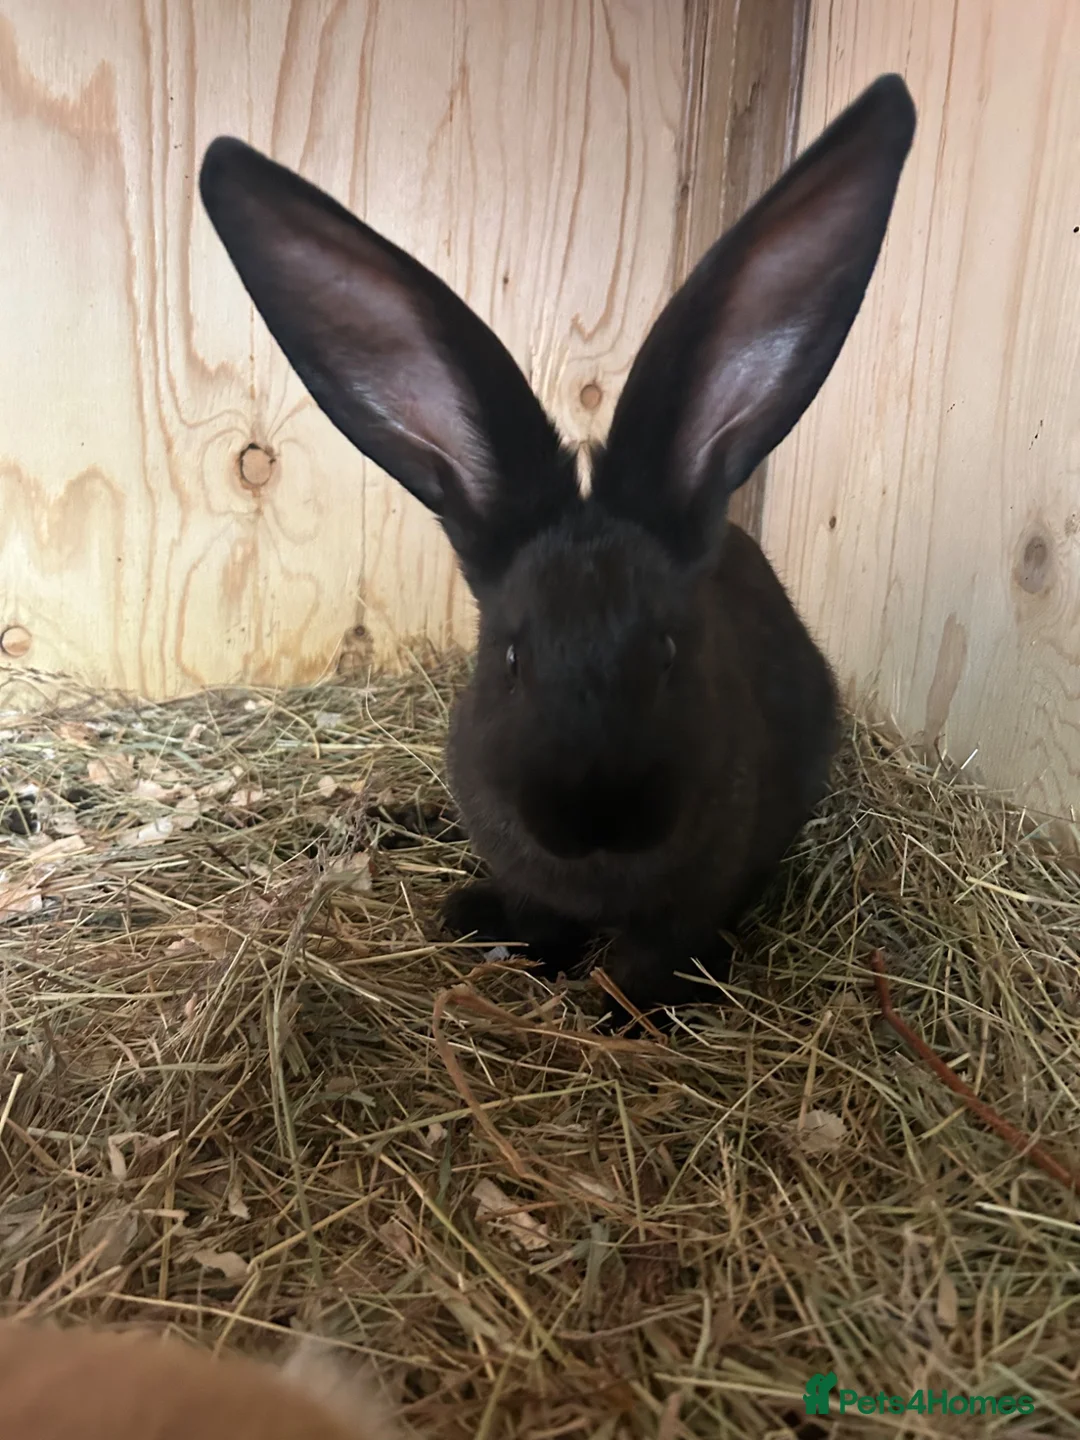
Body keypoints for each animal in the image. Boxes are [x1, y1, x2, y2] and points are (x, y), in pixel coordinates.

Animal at [198, 74, 916, 1019]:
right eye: (510, 658)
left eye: (668, 651)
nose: (592, 817)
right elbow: (544, 920)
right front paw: (496, 933)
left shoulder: (696, 896)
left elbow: (656, 956)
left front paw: (619, 1014)